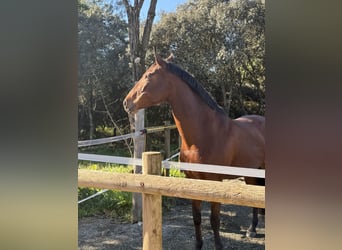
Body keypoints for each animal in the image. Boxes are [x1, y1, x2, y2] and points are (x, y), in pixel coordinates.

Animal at [123, 53, 264, 249]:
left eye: (148, 75)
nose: (126, 102)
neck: (205, 133)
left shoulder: (215, 181)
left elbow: (214, 220)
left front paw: (219, 245)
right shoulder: (192, 179)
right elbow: (196, 218)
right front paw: (198, 245)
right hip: (252, 171)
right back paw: (252, 229)